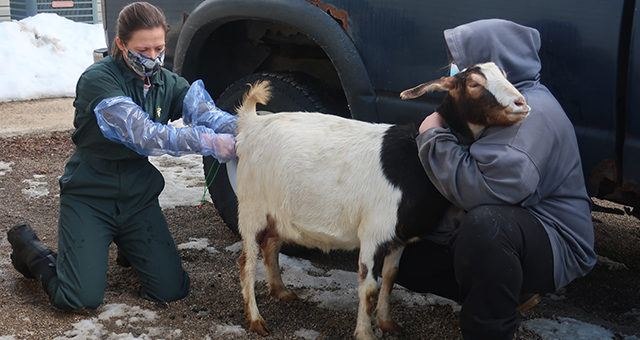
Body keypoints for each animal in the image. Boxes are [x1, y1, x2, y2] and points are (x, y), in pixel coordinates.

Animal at [235, 61, 528, 340]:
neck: (416, 158)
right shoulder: (373, 234)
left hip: (277, 210)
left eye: (504, 74)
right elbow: (369, 288)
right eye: (474, 84)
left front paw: (387, 323)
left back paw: (281, 291)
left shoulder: (400, 236)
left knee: (272, 244)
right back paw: (256, 320)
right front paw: (366, 333)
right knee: (247, 261)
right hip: (251, 207)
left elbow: (390, 278)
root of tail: (252, 124)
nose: (521, 103)